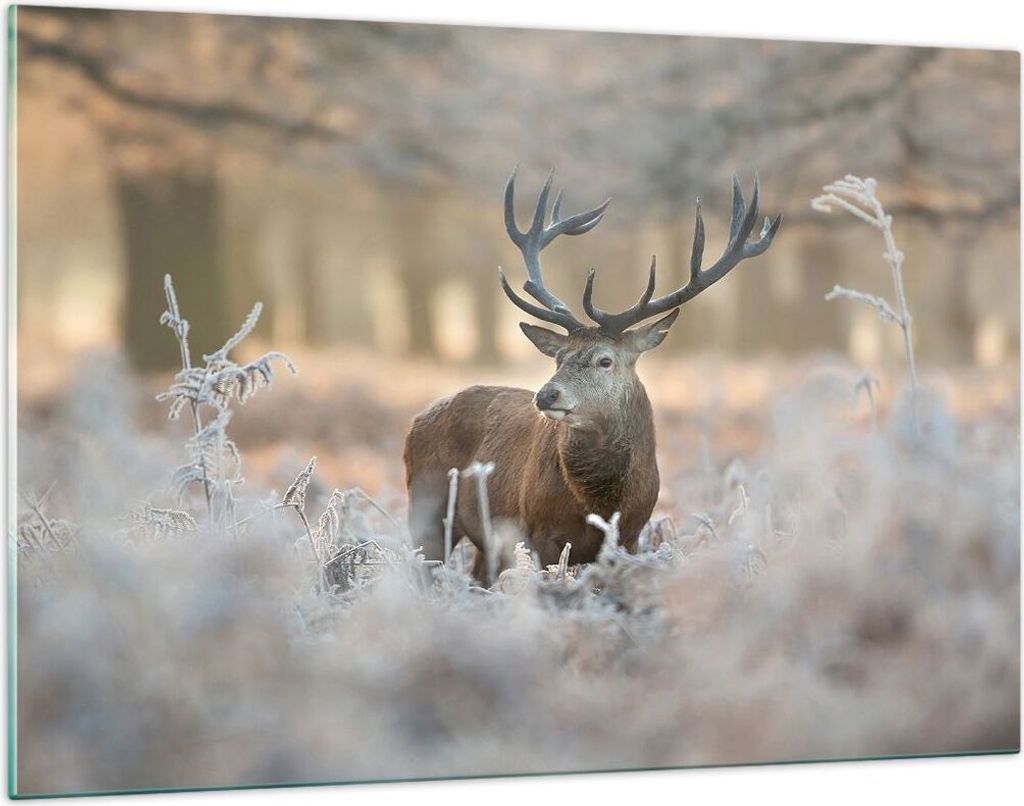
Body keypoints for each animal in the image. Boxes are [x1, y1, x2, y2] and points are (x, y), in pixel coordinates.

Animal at [404, 167, 782, 585]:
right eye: (559, 358)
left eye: (605, 360)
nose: (546, 395)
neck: (599, 503)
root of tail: (417, 420)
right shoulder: (538, 532)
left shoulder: (630, 536)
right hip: (425, 507)